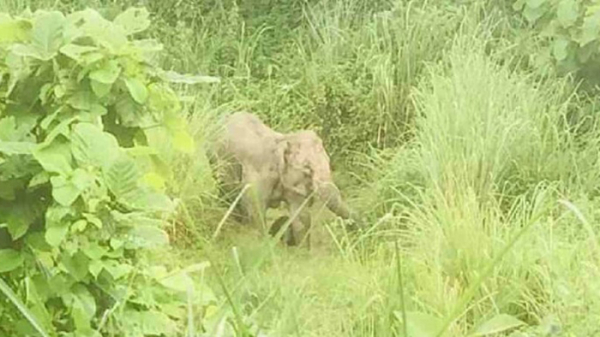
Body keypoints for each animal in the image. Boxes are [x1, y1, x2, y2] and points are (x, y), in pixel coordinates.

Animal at [211, 111, 356, 245]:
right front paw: (262, 245)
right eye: (307, 168)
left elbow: (300, 217)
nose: (354, 226)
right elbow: (255, 208)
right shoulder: (257, 173)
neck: (284, 140)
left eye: (328, 162)